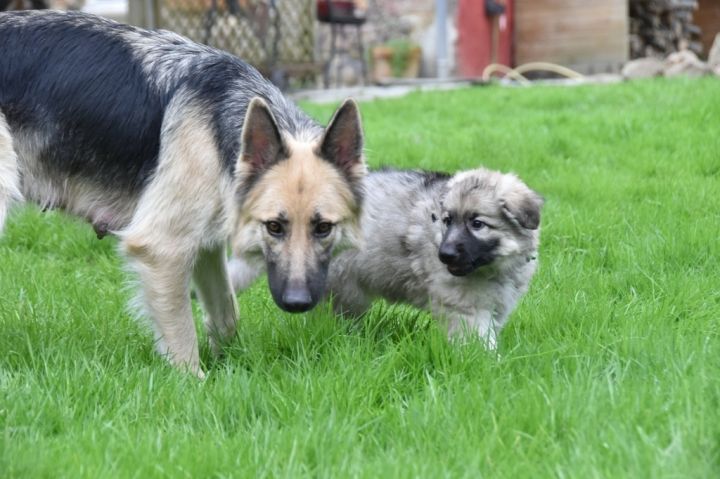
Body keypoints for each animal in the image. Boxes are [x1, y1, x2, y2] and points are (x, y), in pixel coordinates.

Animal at [0, 11, 366, 376]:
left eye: (324, 228)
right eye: (274, 227)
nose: (297, 303)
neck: (219, 126)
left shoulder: (205, 246)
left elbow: (226, 313)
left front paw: (227, 362)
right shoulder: (163, 249)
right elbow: (181, 338)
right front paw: (195, 382)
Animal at [325, 167, 543, 349]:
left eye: (477, 224)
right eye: (448, 220)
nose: (445, 255)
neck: (491, 269)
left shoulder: (498, 305)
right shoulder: (466, 310)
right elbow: (479, 342)